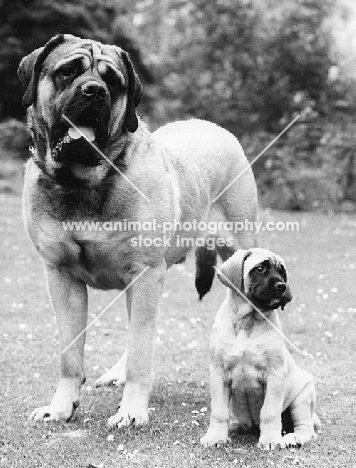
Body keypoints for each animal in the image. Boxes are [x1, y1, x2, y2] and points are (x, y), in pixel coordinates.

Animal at [17, 33, 258, 428]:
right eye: (67, 71)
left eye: (114, 82)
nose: (94, 91)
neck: (84, 181)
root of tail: (213, 126)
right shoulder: (61, 276)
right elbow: (70, 353)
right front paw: (61, 406)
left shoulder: (145, 273)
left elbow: (142, 349)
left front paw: (132, 410)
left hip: (237, 252)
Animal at [200, 249, 320, 450]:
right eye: (260, 268)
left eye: (282, 272)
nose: (282, 286)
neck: (247, 322)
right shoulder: (218, 373)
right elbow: (219, 411)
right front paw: (215, 436)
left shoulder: (275, 374)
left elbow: (269, 412)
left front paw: (270, 440)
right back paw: (234, 427)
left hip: (302, 396)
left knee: (306, 429)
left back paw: (292, 438)